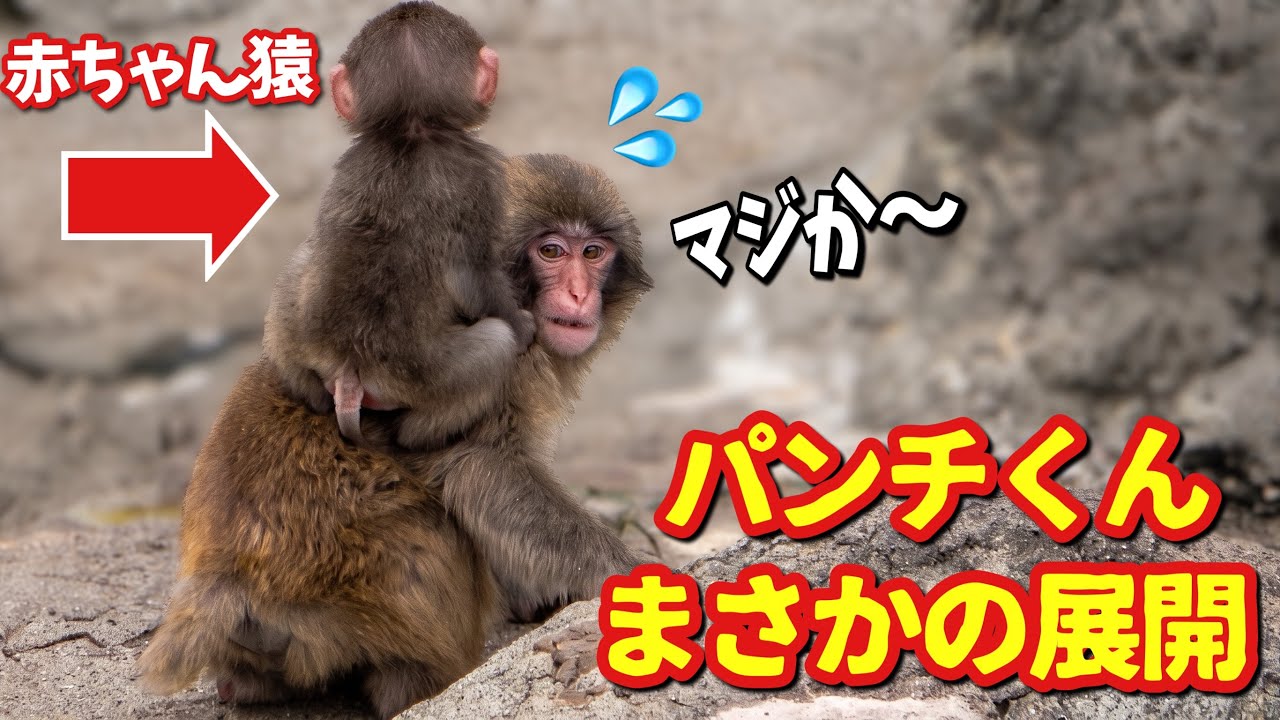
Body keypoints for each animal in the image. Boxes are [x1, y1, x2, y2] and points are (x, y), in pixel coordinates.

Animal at [138, 153, 654, 719]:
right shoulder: (511, 364)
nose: (580, 293)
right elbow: (484, 473)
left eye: (593, 251)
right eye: (551, 251)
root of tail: (230, 581)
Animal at [263, 1, 535, 450]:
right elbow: (475, 277)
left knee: (300, 265)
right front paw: (524, 323)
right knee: (495, 345)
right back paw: (415, 437)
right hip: (428, 377)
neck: (411, 129)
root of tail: (351, 372)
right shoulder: (480, 177)